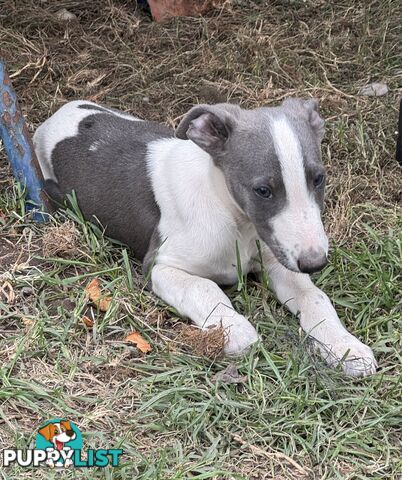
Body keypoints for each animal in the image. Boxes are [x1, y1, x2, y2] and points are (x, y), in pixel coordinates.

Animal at [33, 98, 376, 376]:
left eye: (318, 178)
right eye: (262, 190)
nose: (315, 263)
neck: (236, 222)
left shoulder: (278, 258)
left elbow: (315, 298)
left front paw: (345, 347)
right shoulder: (160, 265)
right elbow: (205, 287)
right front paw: (236, 330)